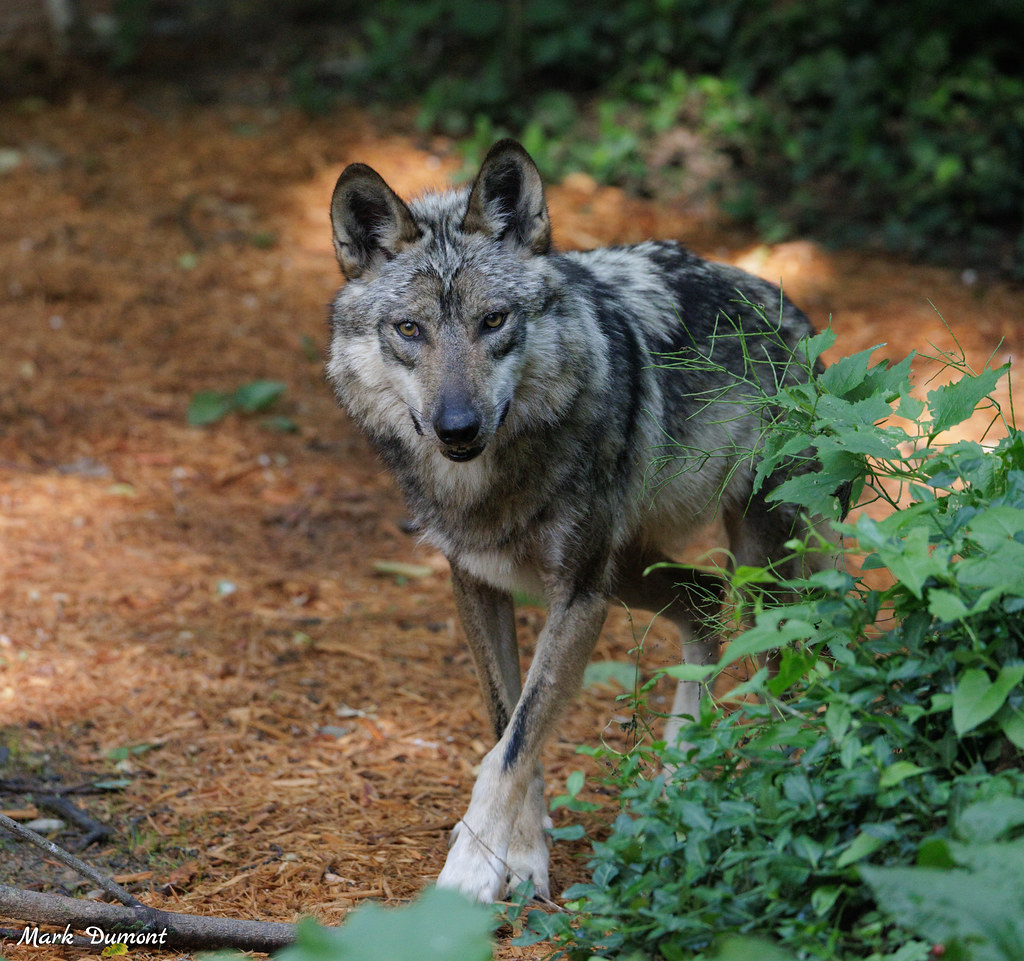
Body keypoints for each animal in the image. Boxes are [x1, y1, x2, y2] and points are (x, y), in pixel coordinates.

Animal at [326, 139, 825, 903]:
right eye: (410, 330)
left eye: (494, 321)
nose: (457, 427)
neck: (491, 488)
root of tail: (792, 312)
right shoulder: (477, 584)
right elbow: (508, 727)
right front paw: (523, 860)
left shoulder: (578, 594)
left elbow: (514, 743)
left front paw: (470, 872)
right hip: (633, 569)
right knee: (706, 602)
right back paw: (675, 793)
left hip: (743, 564)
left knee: (779, 665)